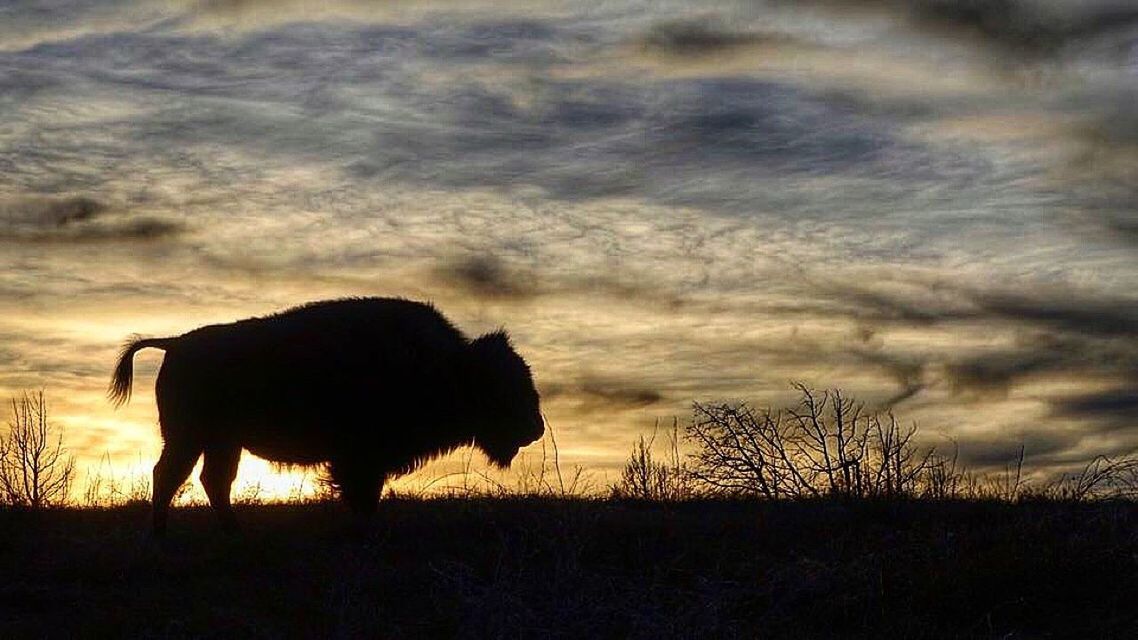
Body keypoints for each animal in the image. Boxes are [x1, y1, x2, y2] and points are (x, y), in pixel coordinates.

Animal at [108, 298, 543, 532]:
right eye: (503, 386)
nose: (536, 428)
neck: (447, 366)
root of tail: (175, 343)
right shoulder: (360, 459)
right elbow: (362, 494)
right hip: (189, 437)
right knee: (170, 476)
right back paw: (162, 535)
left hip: (221, 442)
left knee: (212, 481)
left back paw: (233, 532)